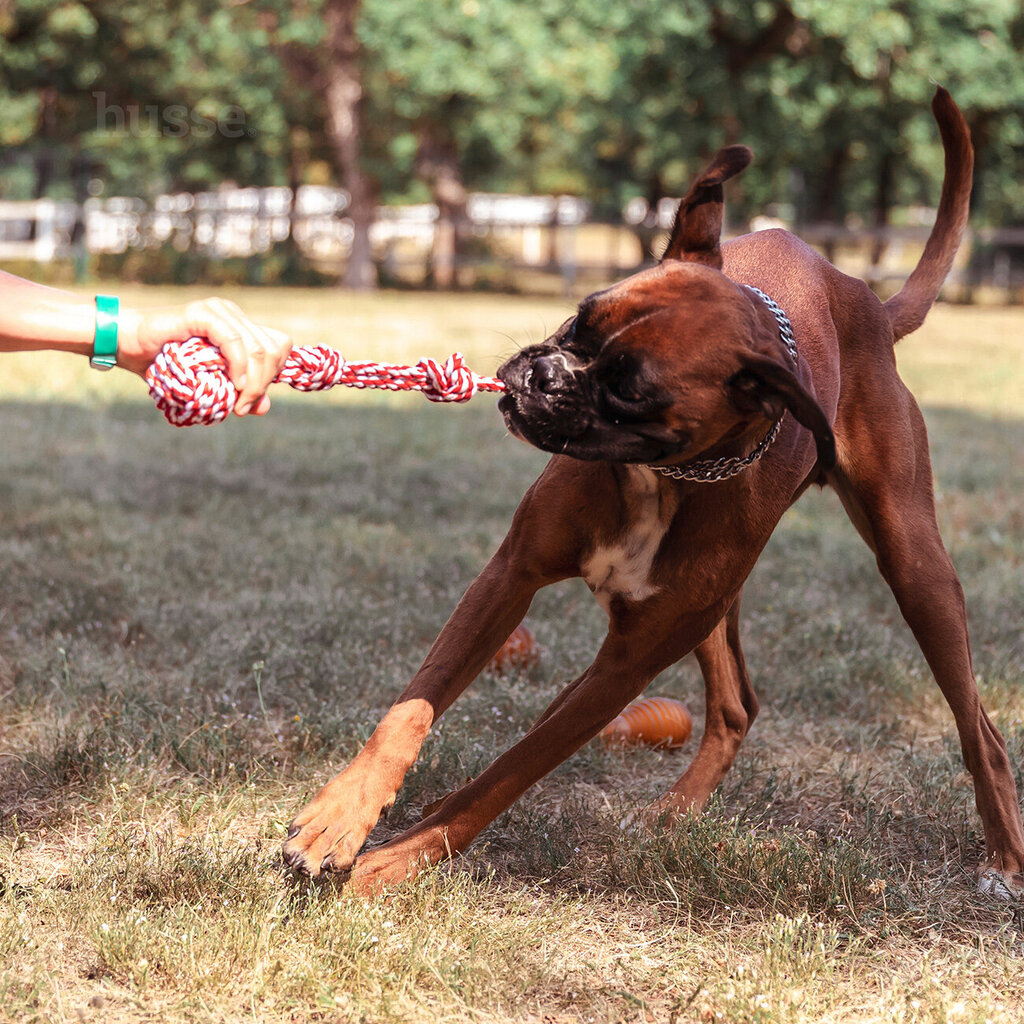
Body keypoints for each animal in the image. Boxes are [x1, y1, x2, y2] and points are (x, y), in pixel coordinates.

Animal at [282, 92, 1024, 901]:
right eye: (581, 317)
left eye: (631, 390)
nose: (543, 375)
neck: (660, 477)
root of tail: (865, 301)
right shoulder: (509, 578)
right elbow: (412, 709)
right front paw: (342, 816)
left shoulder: (624, 665)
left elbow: (508, 772)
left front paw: (396, 860)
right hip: (719, 611)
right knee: (736, 706)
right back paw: (673, 814)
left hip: (915, 569)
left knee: (980, 726)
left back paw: (1004, 859)